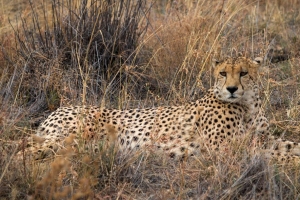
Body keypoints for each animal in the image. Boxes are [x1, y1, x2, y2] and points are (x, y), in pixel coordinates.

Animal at [25, 56, 300, 161]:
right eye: (223, 73)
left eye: (243, 73)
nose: (232, 89)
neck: (247, 106)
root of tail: (57, 110)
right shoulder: (224, 149)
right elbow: (269, 154)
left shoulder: (262, 138)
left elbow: (287, 145)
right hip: (72, 136)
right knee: (24, 150)